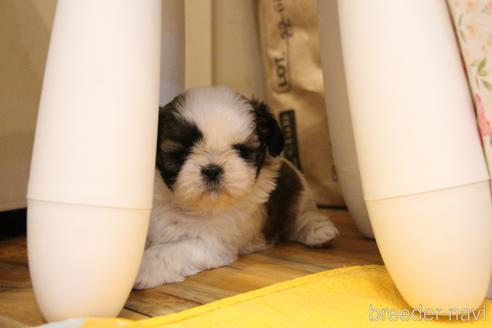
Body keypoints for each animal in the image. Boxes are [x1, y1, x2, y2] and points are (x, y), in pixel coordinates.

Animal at [136, 86, 340, 288]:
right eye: (183, 152)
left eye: (241, 150)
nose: (212, 170)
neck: (193, 207)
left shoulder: (211, 242)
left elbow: (169, 250)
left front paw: (143, 267)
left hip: (299, 193)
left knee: (303, 216)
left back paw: (319, 232)